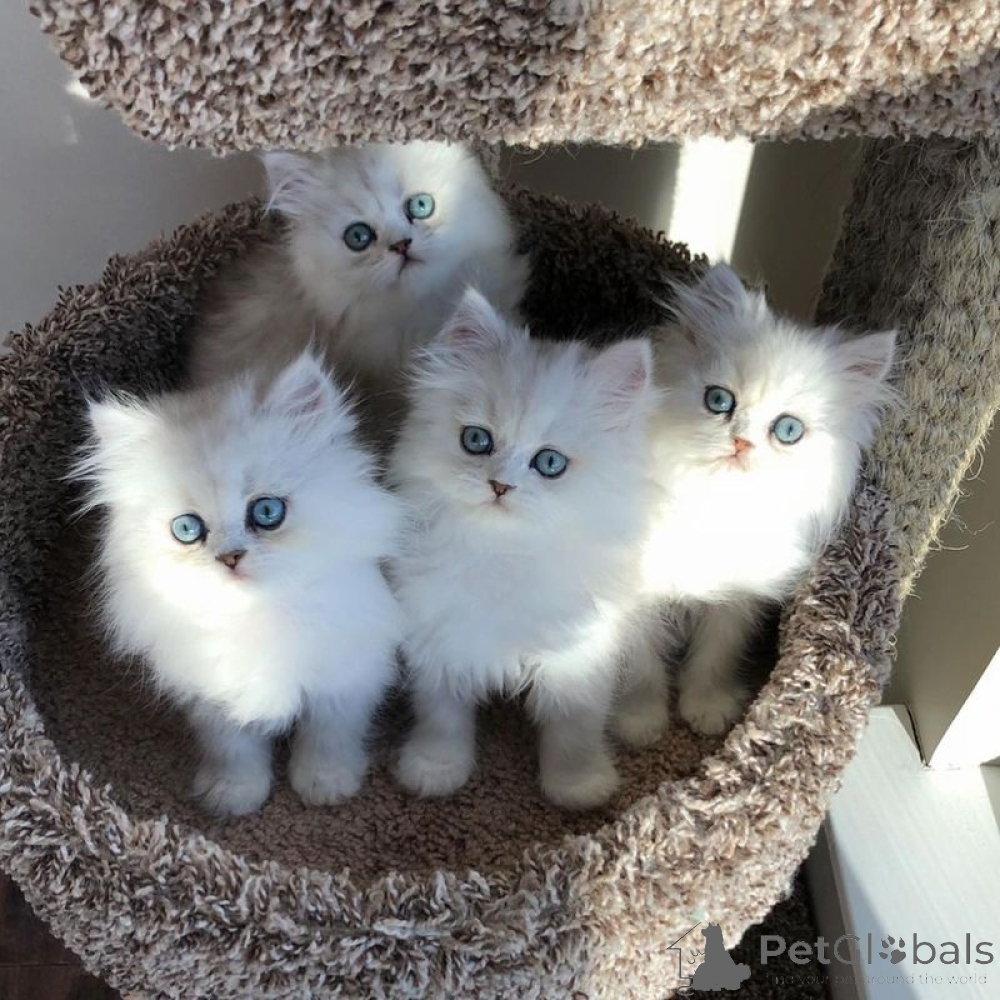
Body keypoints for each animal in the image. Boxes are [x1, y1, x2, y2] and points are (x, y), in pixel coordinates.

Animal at [76, 353, 403, 816]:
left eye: (267, 512)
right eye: (187, 529)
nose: (230, 558)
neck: (259, 615)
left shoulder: (346, 676)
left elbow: (328, 736)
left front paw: (325, 786)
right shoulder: (213, 696)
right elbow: (233, 749)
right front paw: (234, 797)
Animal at [389, 288, 660, 810]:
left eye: (549, 463)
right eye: (477, 440)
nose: (500, 485)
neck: (503, 554)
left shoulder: (583, 653)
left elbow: (573, 727)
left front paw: (578, 788)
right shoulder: (440, 640)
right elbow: (441, 718)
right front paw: (435, 770)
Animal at [626, 263, 896, 737]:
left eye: (787, 430)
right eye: (719, 400)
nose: (741, 443)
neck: (712, 502)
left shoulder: (736, 602)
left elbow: (714, 659)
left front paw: (708, 709)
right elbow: (643, 668)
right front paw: (642, 724)